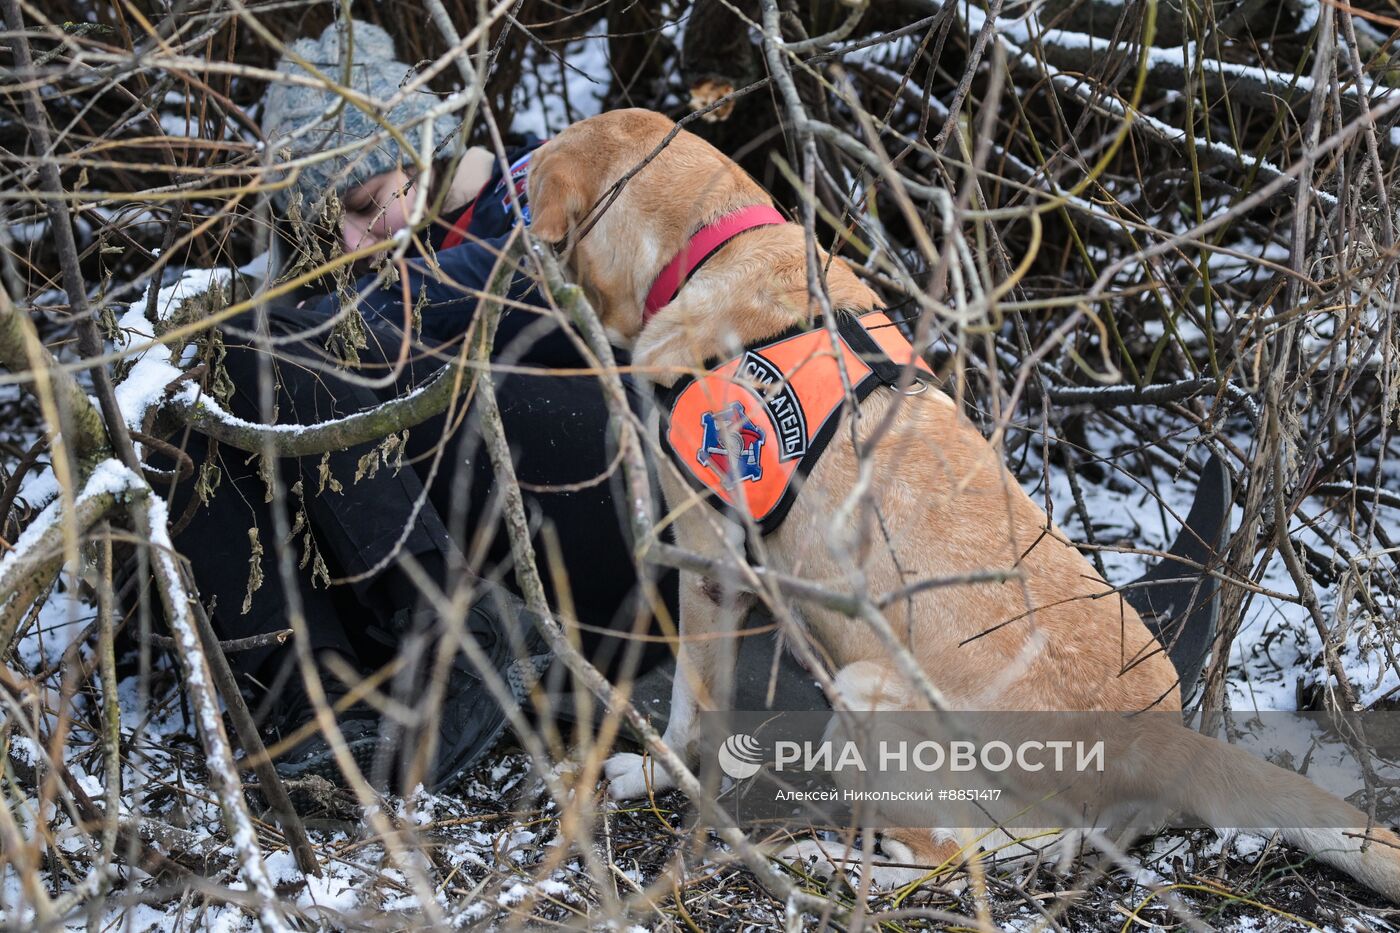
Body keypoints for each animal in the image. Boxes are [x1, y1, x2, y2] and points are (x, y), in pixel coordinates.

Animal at [523, 109, 1400, 902]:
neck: (713, 244)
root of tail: (1156, 735)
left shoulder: (707, 558)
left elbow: (690, 705)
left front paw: (651, 772)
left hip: (868, 698)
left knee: (955, 857)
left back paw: (835, 863)